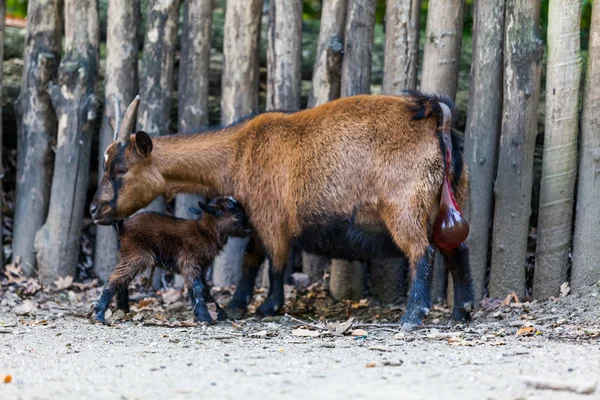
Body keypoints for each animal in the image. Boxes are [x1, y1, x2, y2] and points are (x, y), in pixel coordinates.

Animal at [93, 198, 251, 324]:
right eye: (237, 215)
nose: (249, 230)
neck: (205, 233)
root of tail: (122, 227)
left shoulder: (201, 266)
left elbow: (205, 288)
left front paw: (220, 313)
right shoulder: (190, 261)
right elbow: (197, 287)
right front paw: (204, 318)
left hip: (127, 254)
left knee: (123, 280)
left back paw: (123, 309)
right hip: (137, 254)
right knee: (115, 279)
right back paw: (100, 314)